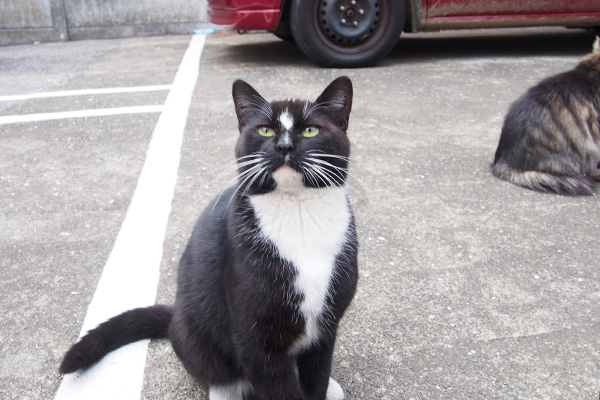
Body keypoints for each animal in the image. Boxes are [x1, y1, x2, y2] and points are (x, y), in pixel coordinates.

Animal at [58, 76, 358, 400]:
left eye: (310, 130)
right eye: (265, 129)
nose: (284, 146)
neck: (298, 213)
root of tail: (176, 315)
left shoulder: (327, 327)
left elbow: (317, 374)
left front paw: (322, 388)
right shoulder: (254, 336)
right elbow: (276, 385)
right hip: (194, 335)